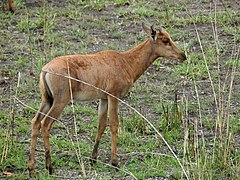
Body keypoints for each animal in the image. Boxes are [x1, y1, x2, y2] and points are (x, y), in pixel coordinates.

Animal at [27, 23, 186, 175]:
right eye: (165, 40)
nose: (182, 56)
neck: (125, 61)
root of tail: (46, 70)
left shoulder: (103, 99)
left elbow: (101, 125)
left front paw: (93, 158)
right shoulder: (113, 96)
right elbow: (114, 124)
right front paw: (115, 162)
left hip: (47, 100)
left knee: (35, 122)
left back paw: (31, 168)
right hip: (60, 102)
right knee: (45, 124)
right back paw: (50, 167)